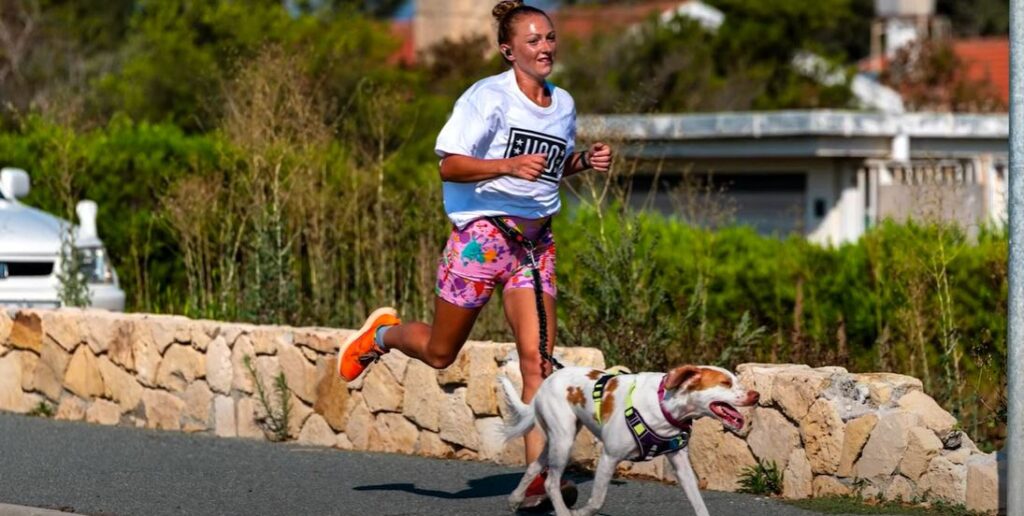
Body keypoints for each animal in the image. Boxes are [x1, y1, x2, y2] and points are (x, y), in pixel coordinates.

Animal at [499, 364, 757, 513]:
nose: (756, 395)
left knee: (534, 467)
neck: (664, 405)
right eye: (725, 383)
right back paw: (562, 512)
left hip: (556, 441)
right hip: (563, 441)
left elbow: (699, 504)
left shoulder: (681, 463)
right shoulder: (609, 457)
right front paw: (580, 513)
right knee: (552, 483)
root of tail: (545, 383)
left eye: (737, 381)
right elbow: (596, 501)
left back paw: (515, 499)